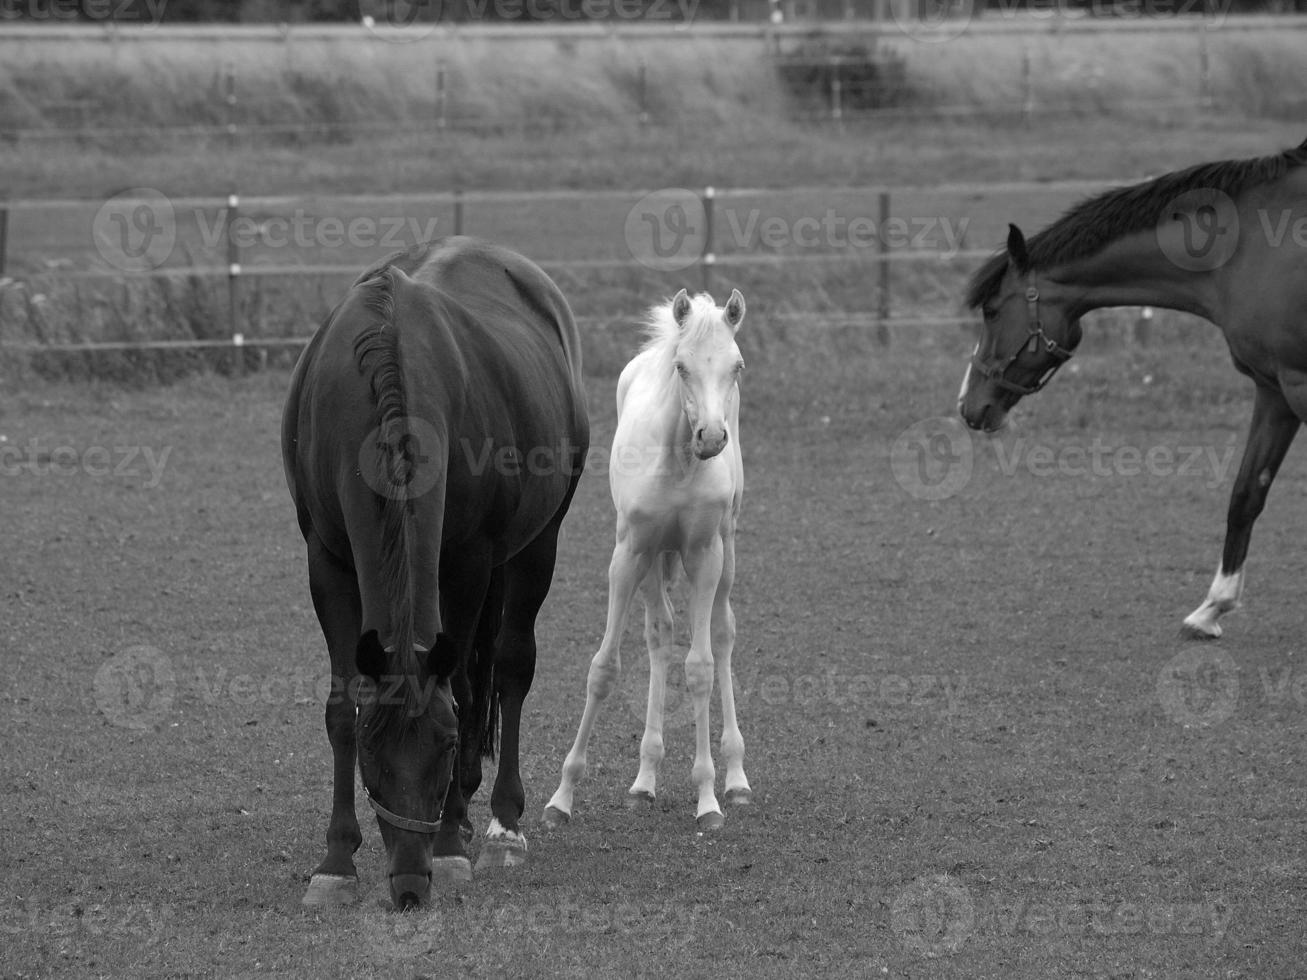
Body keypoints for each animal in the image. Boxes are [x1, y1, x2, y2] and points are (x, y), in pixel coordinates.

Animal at [287, 237, 593, 914]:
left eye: (445, 746)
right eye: (372, 751)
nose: (409, 885)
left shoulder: (468, 561)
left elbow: (464, 691)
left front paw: (451, 845)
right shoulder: (326, 560)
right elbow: (341, 704)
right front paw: (335, 861)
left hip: (538, 543)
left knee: (509, 666)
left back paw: (500, 824)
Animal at [541, 287, 752, 831]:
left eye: (736, 366)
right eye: (681, 367)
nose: (711, 438)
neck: (677, 463)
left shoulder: (704, 554)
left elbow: (699, 667)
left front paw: (708, 799)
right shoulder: (630, 552)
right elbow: (604, 667)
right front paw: (560, 798)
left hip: (727, 546)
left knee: (723, 633)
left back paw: (736, 778)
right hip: (655, 558)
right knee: (659, 633)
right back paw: (643, 781)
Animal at [961, 139, 1307, 645]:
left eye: (990, 309)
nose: (968, 404)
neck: (1253, 249)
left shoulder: (1298, 387)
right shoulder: (1274, 391)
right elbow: (1246, 495)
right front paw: (1211, 609)